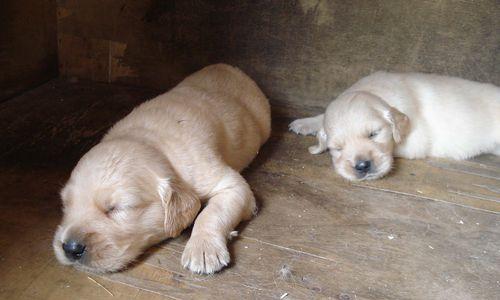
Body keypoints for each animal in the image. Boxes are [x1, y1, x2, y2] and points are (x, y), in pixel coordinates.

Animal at [53, 63, 272, 274]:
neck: (152, 144)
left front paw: (203, 249)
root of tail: (227, 67)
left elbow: (211, 212)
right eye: (66, 204)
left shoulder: (228, 183)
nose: (70, 248)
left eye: (117, 209)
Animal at [290, 72, 500, 180]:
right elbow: (322, 116)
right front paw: (305, 122)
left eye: (374, 134)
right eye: (337, 148)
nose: (362, 166)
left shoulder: (417, 141)